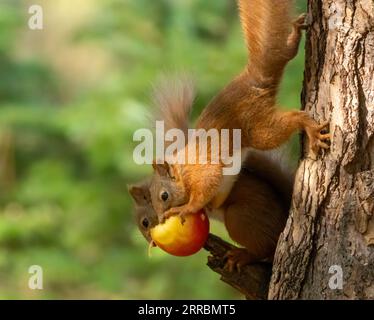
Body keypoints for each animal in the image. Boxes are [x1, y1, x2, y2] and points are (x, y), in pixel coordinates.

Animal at [148, 0, 328, 224]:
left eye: (164, 195)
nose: (160, 219)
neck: (182, 169)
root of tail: (252, 78)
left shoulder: (200, 171)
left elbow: (205, 187)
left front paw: (186, 208)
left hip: (258, 129)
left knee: (291, 120)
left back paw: (310, 128)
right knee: (285, 54)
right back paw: (294, 35)